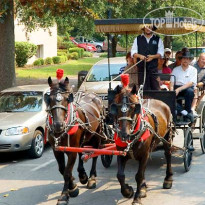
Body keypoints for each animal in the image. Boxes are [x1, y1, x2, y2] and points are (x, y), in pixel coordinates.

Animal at [43, 77, 104, 205]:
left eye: (67, 99)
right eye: (49, 99)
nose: (58, 125)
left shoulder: (71, 151)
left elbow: (67, 172)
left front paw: (65, 195)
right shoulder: (57, 150)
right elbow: (63, 169)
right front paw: (73, 185)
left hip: (97, 134)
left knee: (95, 154)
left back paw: (91, 178)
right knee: (81, 154)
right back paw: (82, 175)